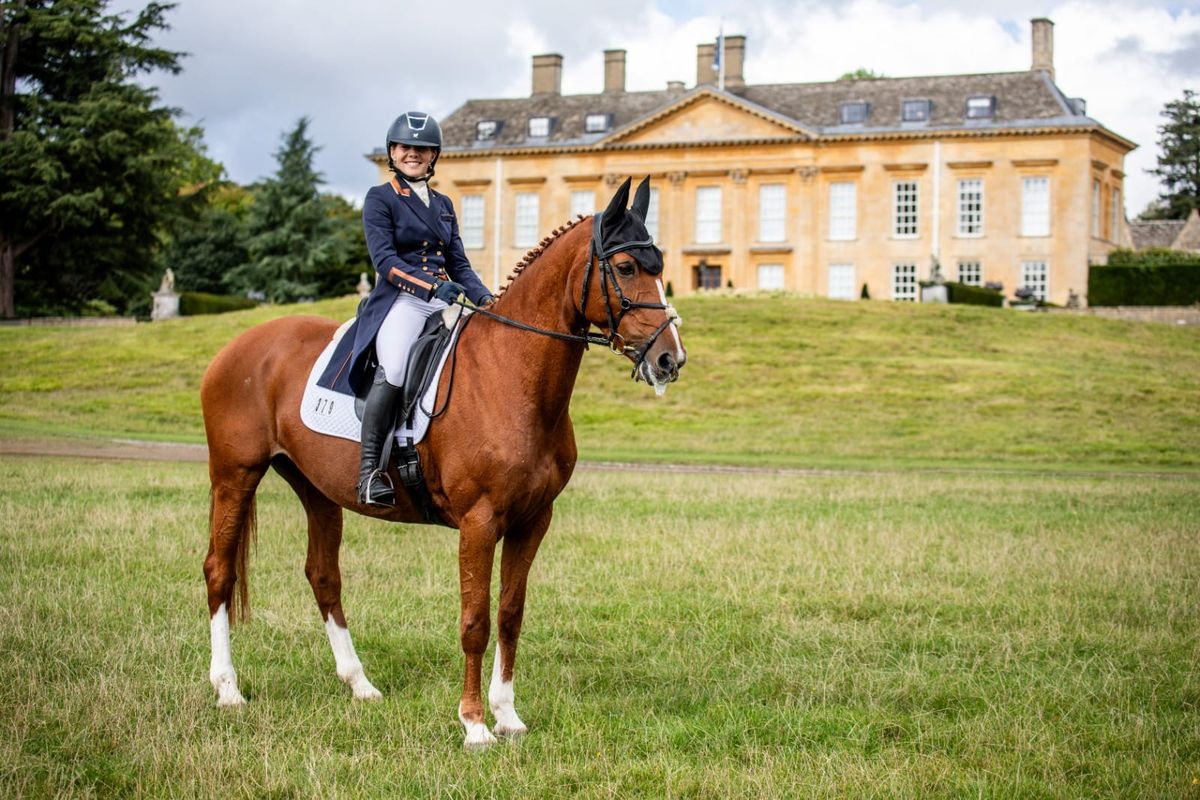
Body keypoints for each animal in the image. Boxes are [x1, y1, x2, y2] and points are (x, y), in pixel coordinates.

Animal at [201, 176, 691, 753]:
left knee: (323, 576)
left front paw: (507, 715)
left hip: (317, 491)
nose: (670, 359)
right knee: (219, 570)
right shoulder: (479, 523)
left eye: (660, 266)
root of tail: (237, 345)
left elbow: (509, 614)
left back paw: (359, 683)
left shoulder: (532, 521)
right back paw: (228, 689)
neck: (510, 372)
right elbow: (475, 620)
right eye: (626, 267)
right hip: (234, 476)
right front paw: (474, 723)